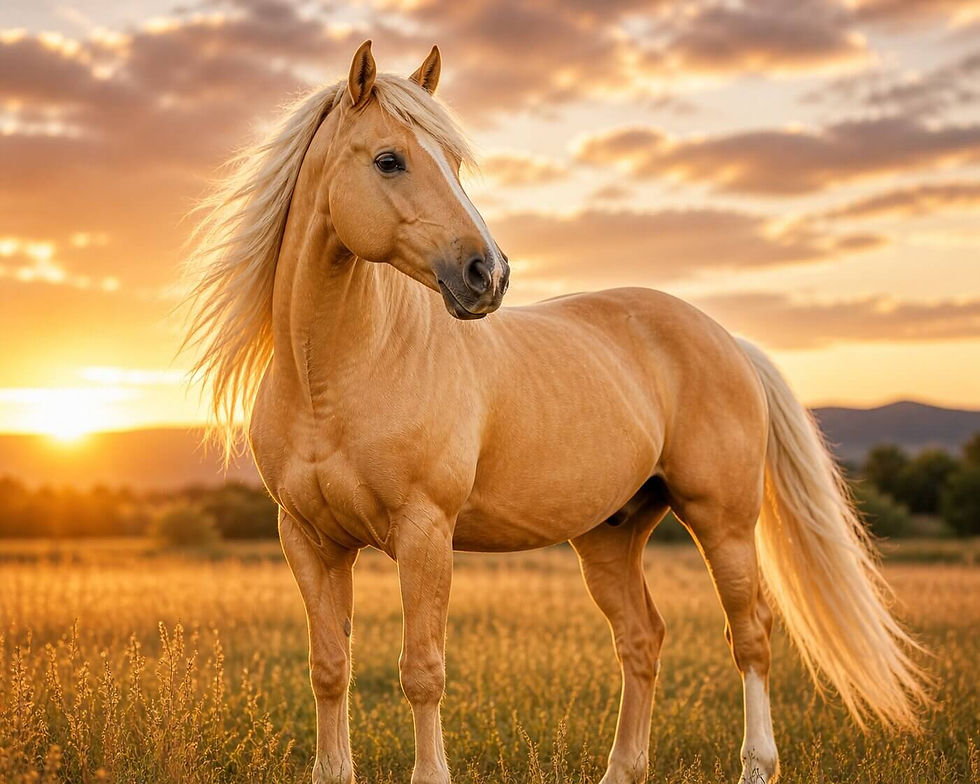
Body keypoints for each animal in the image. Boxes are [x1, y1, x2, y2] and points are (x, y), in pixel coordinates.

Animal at [183, 41, 929, 784]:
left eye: (454, 162)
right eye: (389, 160)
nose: (488, 275)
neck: (335, 377)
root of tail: (726, 340)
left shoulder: (424, 532)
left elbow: (422, 670)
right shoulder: (309, 539)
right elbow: (330, 667)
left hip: (722, 522)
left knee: (751, 636)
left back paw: (756, 764)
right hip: (609, 535)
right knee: (642, 639)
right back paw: (623, 768)